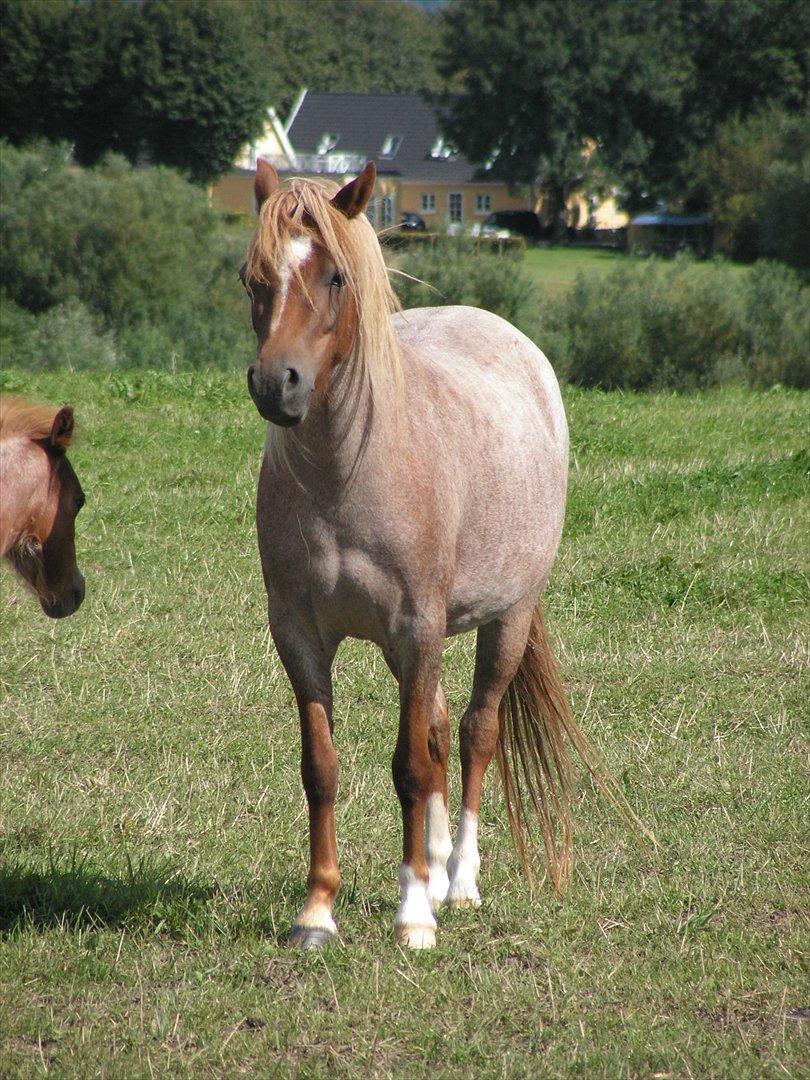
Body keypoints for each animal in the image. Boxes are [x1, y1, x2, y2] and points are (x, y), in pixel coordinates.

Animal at [240, 157, 635, 946]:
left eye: (335, 276)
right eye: (252, 276)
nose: (277, 384)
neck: (346, 475)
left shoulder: (416, 627)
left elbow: (410, 768)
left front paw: (415, 913)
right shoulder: (299, 633)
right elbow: (323, 766)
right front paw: (317, 912)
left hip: (505, 617)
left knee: (477, 733)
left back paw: (459, 881)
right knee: (441, 728)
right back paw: (437, 857)